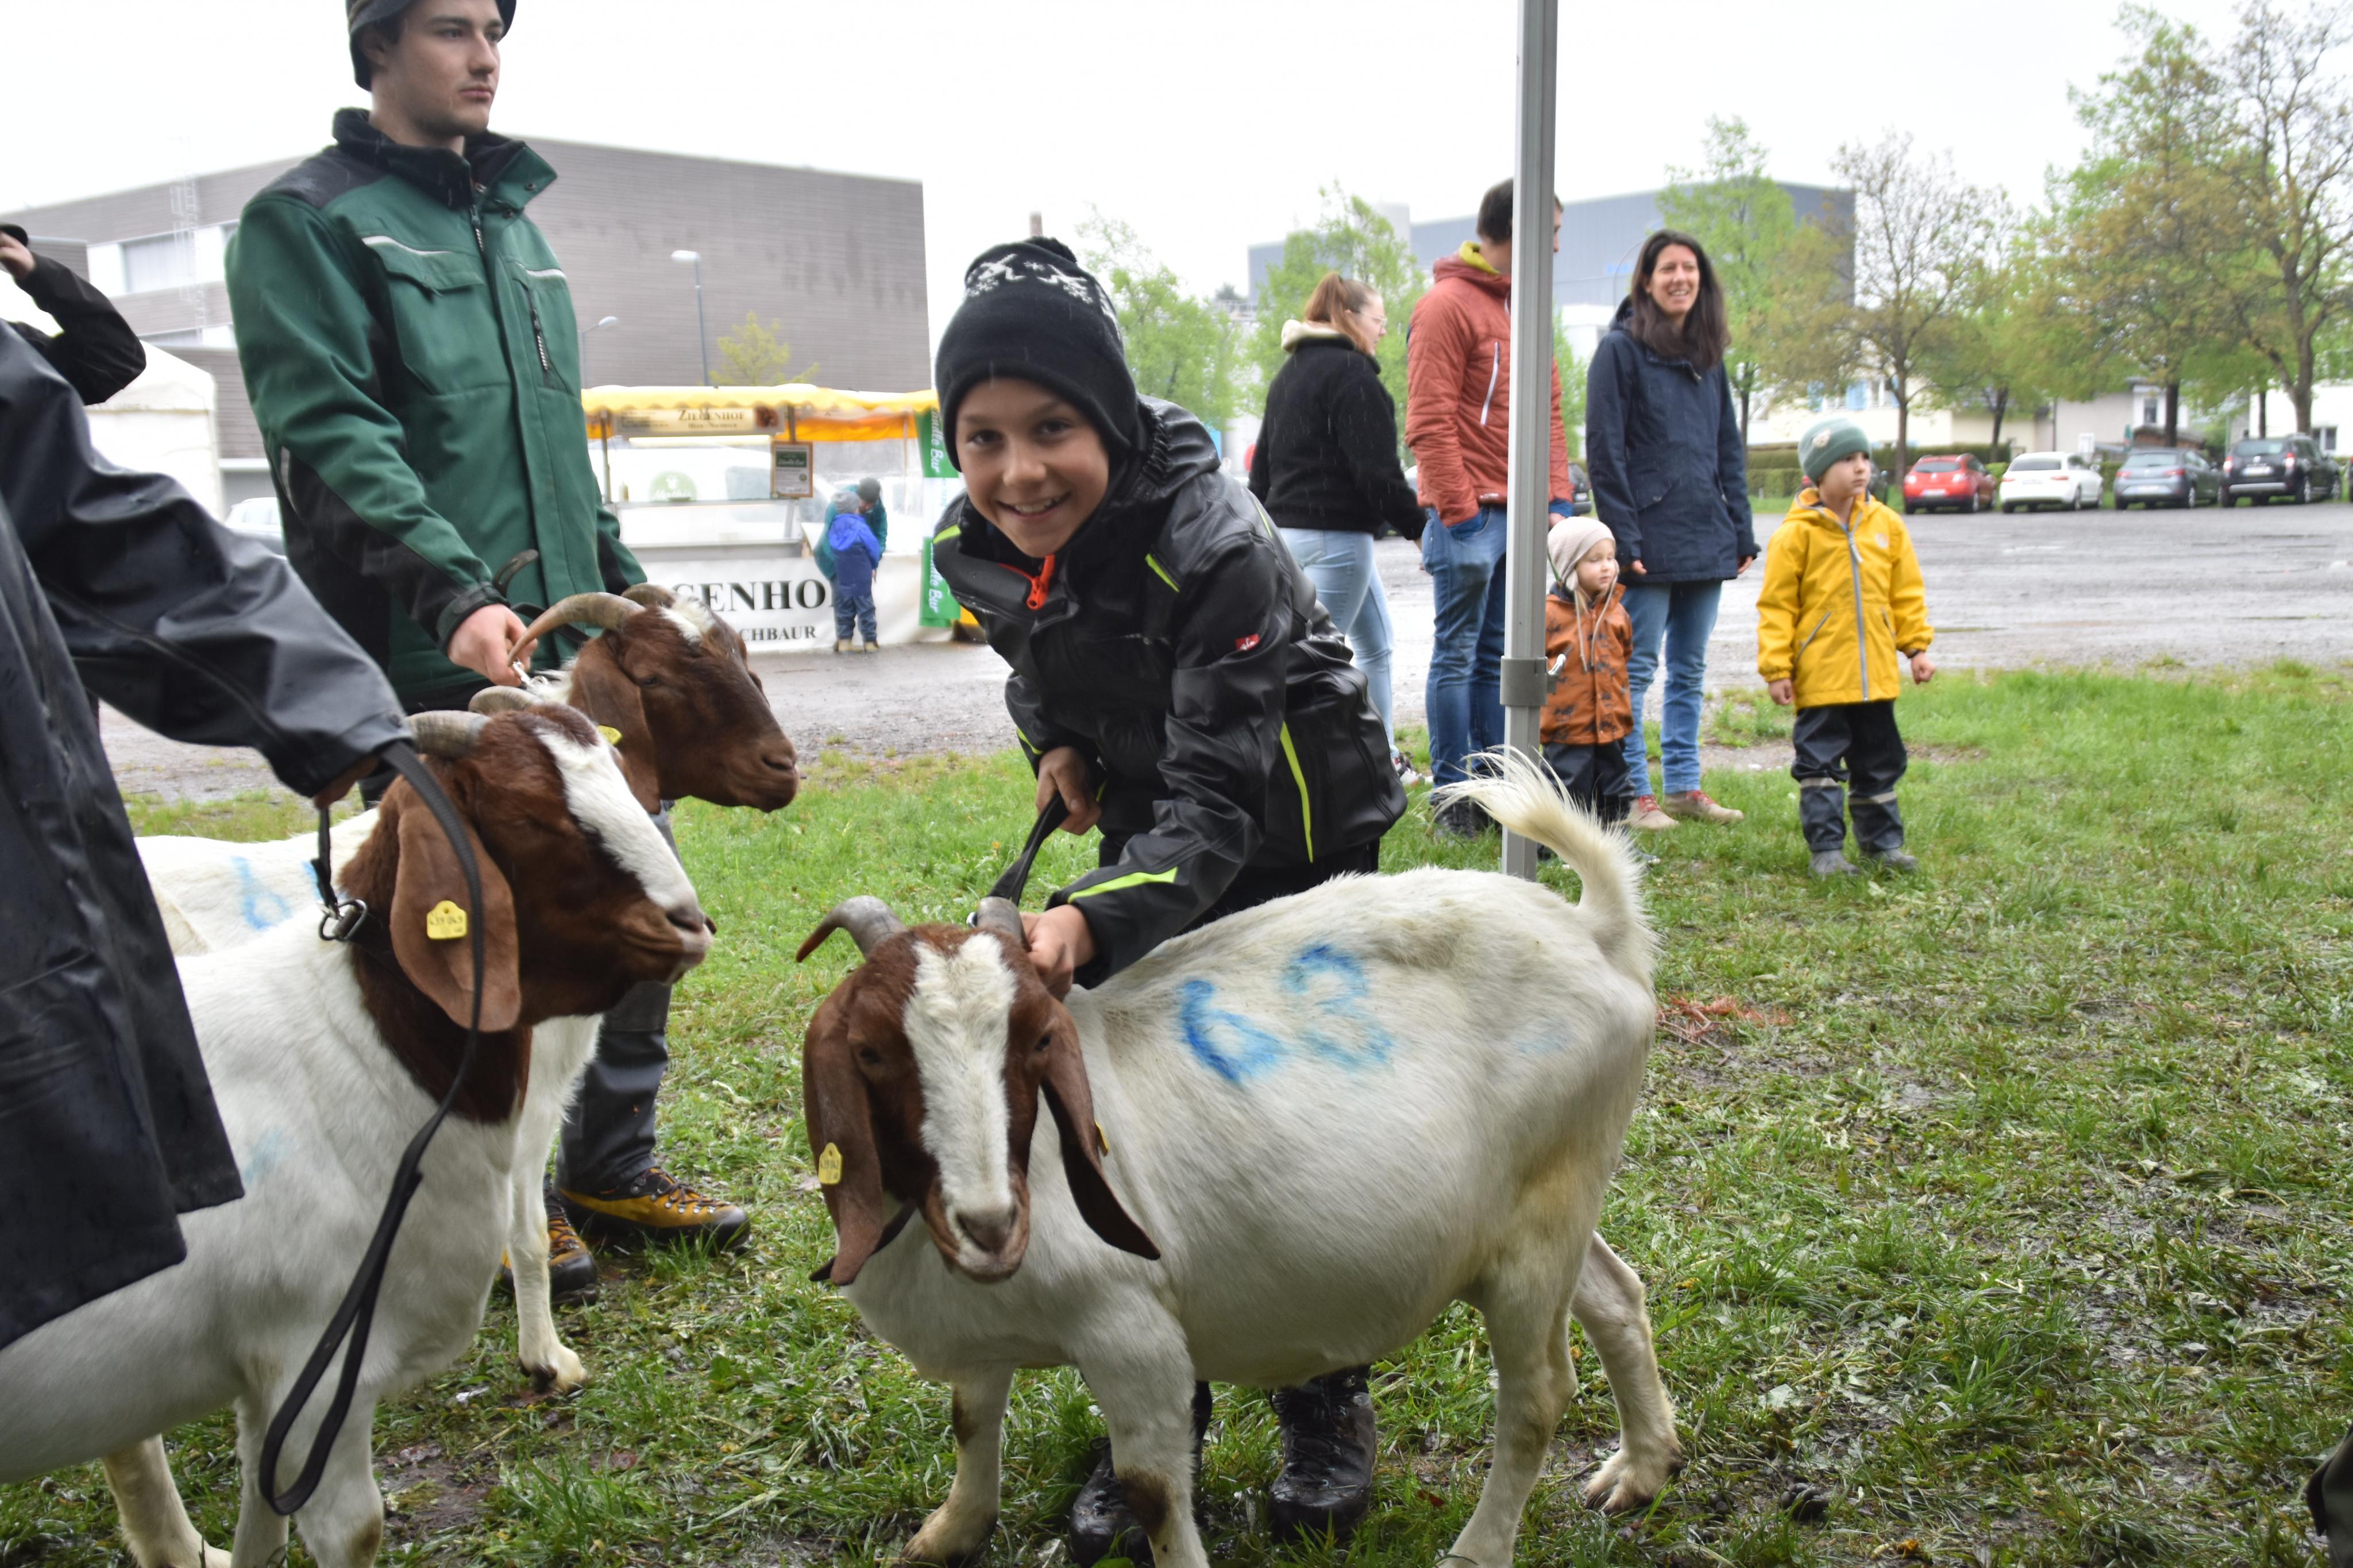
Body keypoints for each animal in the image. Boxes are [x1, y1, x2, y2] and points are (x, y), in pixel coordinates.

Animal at [0, 706, 714, 1568]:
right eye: (530, 815)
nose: (691, 924)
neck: (354, 1045)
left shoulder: (270, 1387)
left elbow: (263, 1526)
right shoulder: (316, 1366)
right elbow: (355, 1526)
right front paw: (546, 1357)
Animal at [131, 587, 795, 1396]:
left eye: (740, 651)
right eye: (659, 678)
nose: (783, 767)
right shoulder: (520, 1100)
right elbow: (529, 1233)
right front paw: (548, 1357)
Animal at [794, 751, 1682, 1568]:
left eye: (1036, 1041)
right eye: (872, 1052)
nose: (989, 1223)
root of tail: (1596, 932)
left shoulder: (1130, 1330)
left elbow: (1154, 1487)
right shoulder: (983, 1328)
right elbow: (972, 1418)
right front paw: (946, 1535)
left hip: (1539, 1227)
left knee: (1537, 1397)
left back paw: (1479, 1549)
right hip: (1550, 1199)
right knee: (1616, 1294)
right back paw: (1641, 1468)